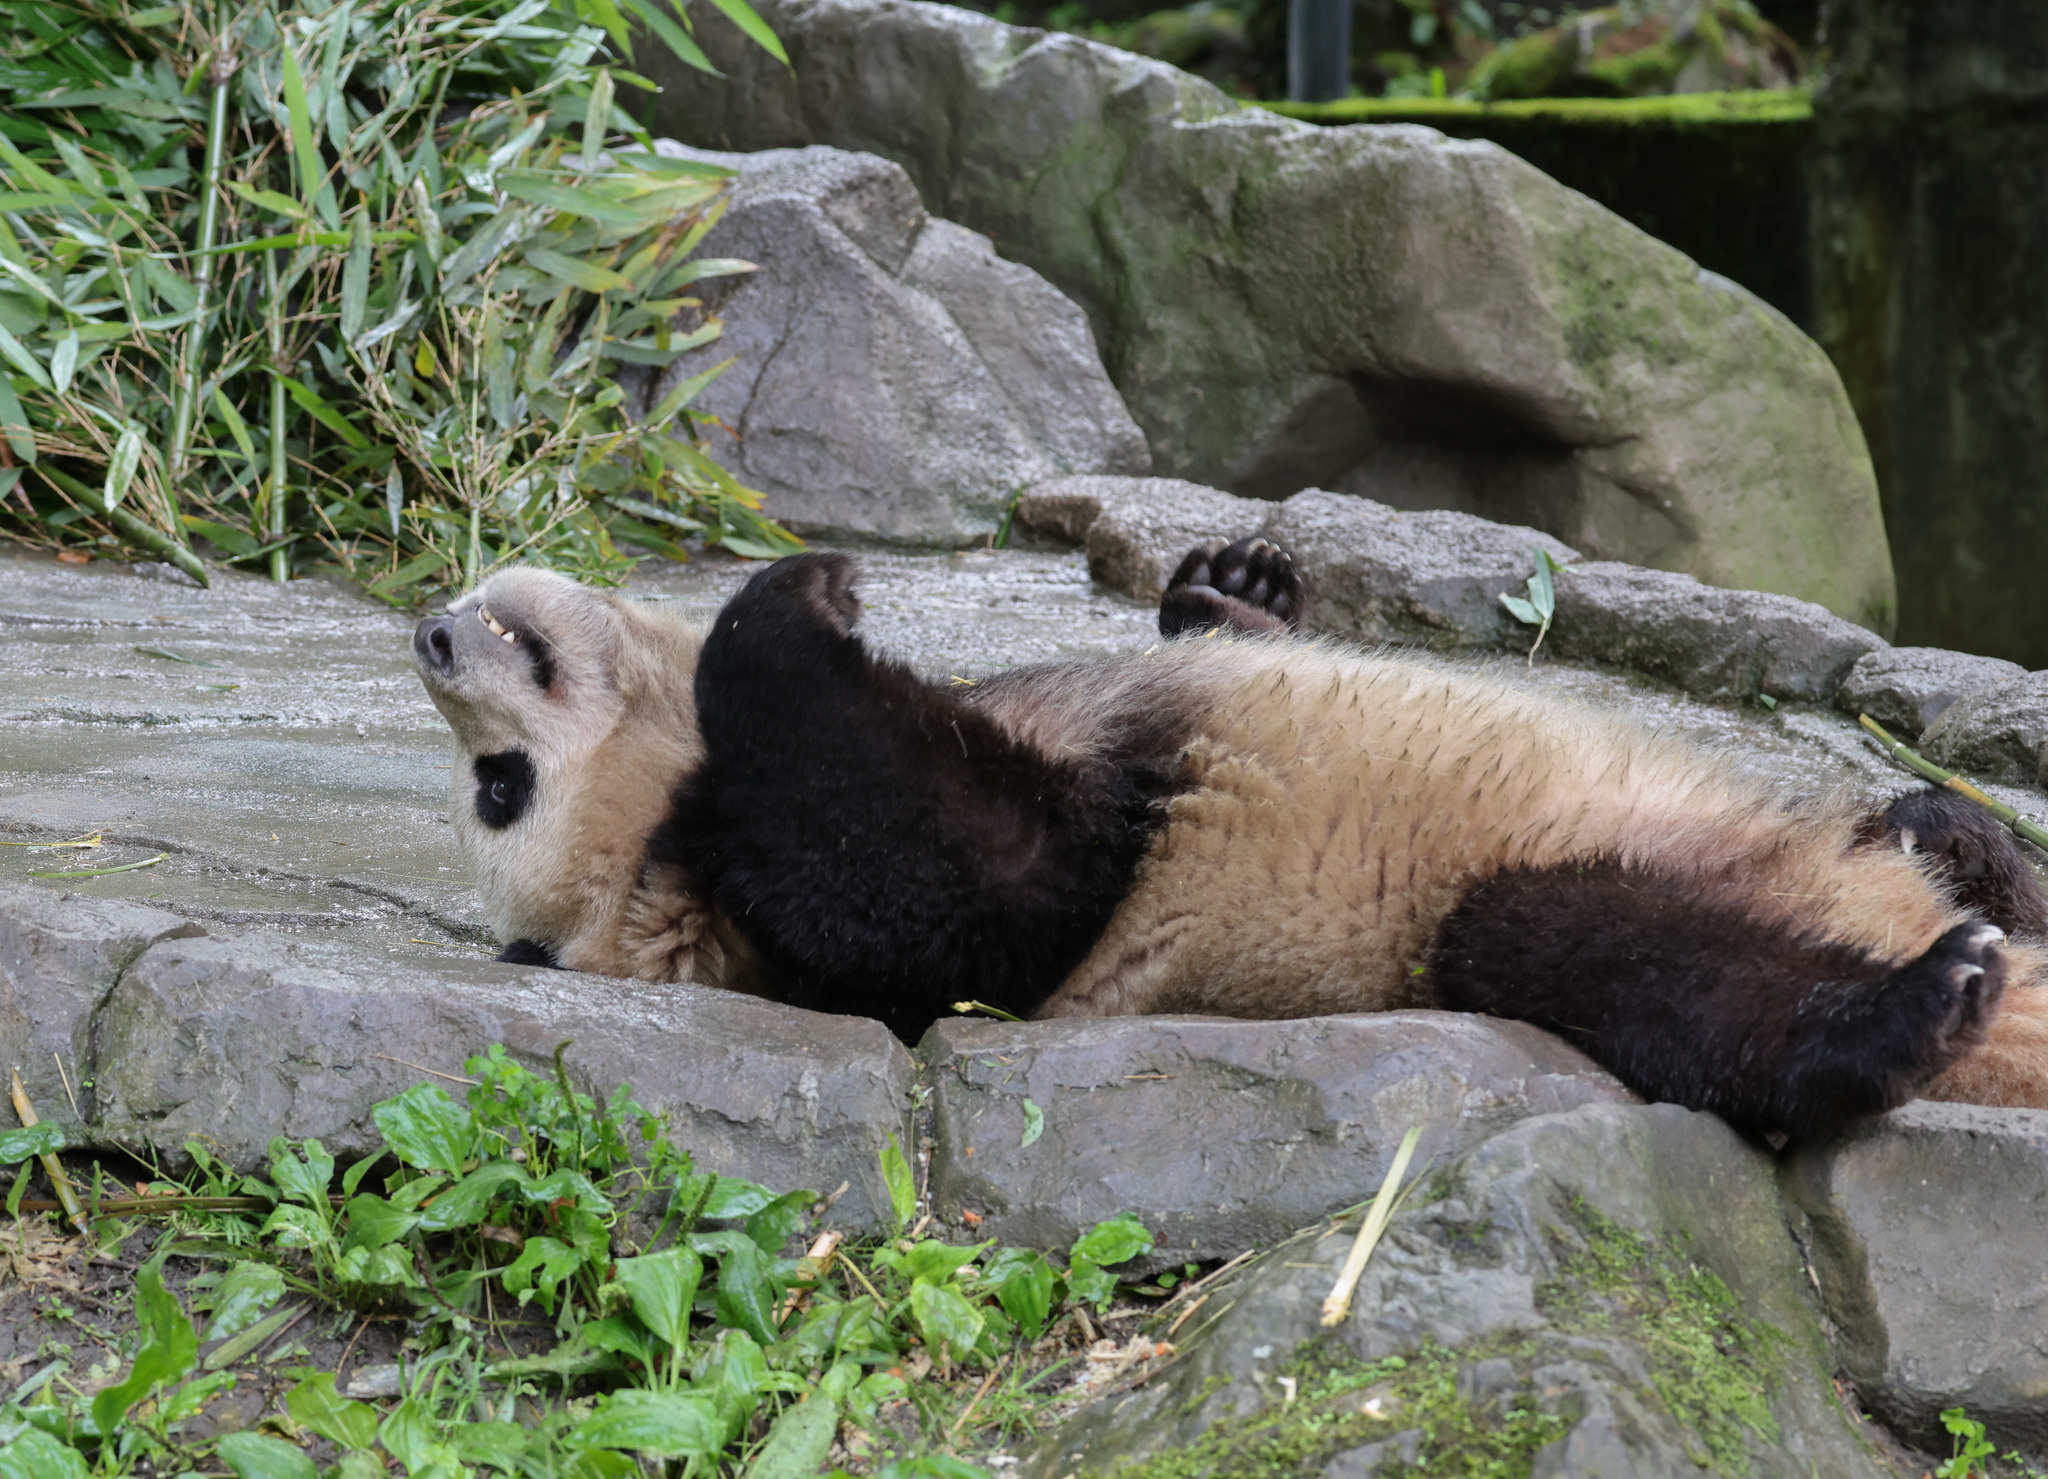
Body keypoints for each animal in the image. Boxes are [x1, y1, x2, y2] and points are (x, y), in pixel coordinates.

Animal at [411, 536, 2048, 1141]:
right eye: (502, 789)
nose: (431, 633)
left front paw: (1232, 586)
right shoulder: (911, 933)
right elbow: (982, 887)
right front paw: (797, 598)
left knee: (1919, 830)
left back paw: (1956, 840)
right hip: (1485, 921)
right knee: (1623, 963)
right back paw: (1913, 1004)